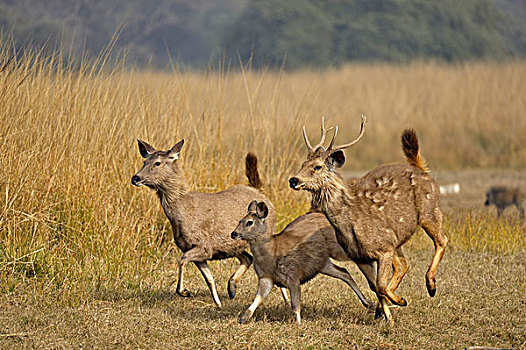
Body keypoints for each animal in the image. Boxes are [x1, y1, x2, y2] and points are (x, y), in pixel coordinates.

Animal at [132, 139, 276, 306]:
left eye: (157, 163)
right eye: (144, 161)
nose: (135, 178)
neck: (181, 213)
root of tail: (260, 193)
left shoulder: (203, 245)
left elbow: (182, 260)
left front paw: (184, 291)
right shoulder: (199, 251)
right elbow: (209, 279)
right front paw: (218, 303)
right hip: (234, 246)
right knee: (248, 258)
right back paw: (231, 288)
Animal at [232, 201, 376, 326]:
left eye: (249, 222)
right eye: (240, 221)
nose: (234, 233)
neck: (271, 254)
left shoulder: (293, 275)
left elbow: (295, 304)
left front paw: (299, 324)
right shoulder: (266, 277)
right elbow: (258, 298)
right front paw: (243, 318)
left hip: (339, 250)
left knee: (364, 259)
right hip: (323, 263)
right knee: (344, 272)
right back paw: (370, 304)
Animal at [288, 117, 450, 326]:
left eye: (317, 167)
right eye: (303, 163)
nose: (293, 180)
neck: (351, 224)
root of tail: (421, 170)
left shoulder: (383, 249)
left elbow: (380, 285)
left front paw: (400, 302)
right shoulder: (361, 256)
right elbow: (375, 287)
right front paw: (387, 316)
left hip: (430, 211)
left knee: (441, 241)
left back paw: (431, 285)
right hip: (397, 238)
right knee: (404, 264)